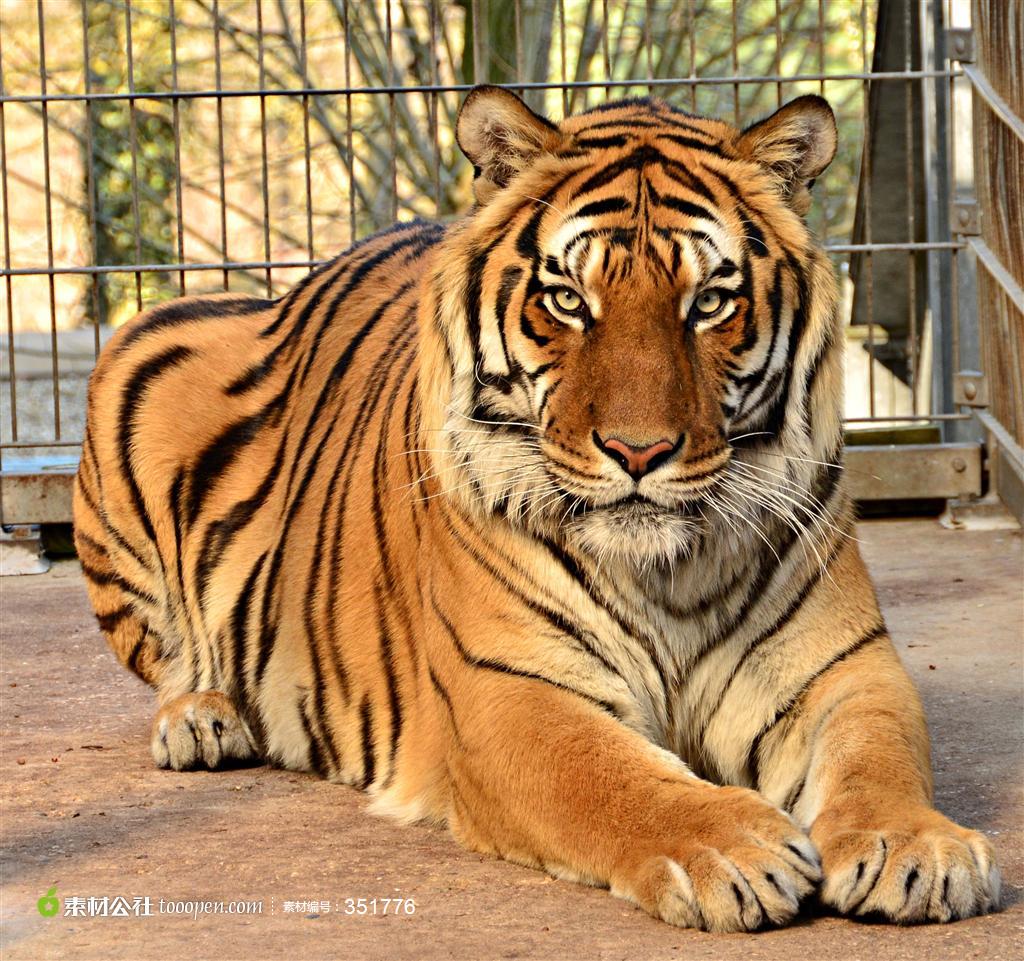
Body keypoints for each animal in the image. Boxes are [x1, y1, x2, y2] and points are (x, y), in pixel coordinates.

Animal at [74, 84, 999, 930]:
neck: (667, 572)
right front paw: (736, 845)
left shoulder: (843, 666)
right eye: (567, 300)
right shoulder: (510, 690)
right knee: (169, 660)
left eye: (709, 302)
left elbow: (881, 753)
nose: (638, 452)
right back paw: (200, 719)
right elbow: (614, 777)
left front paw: (915, 845)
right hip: (142, 354)